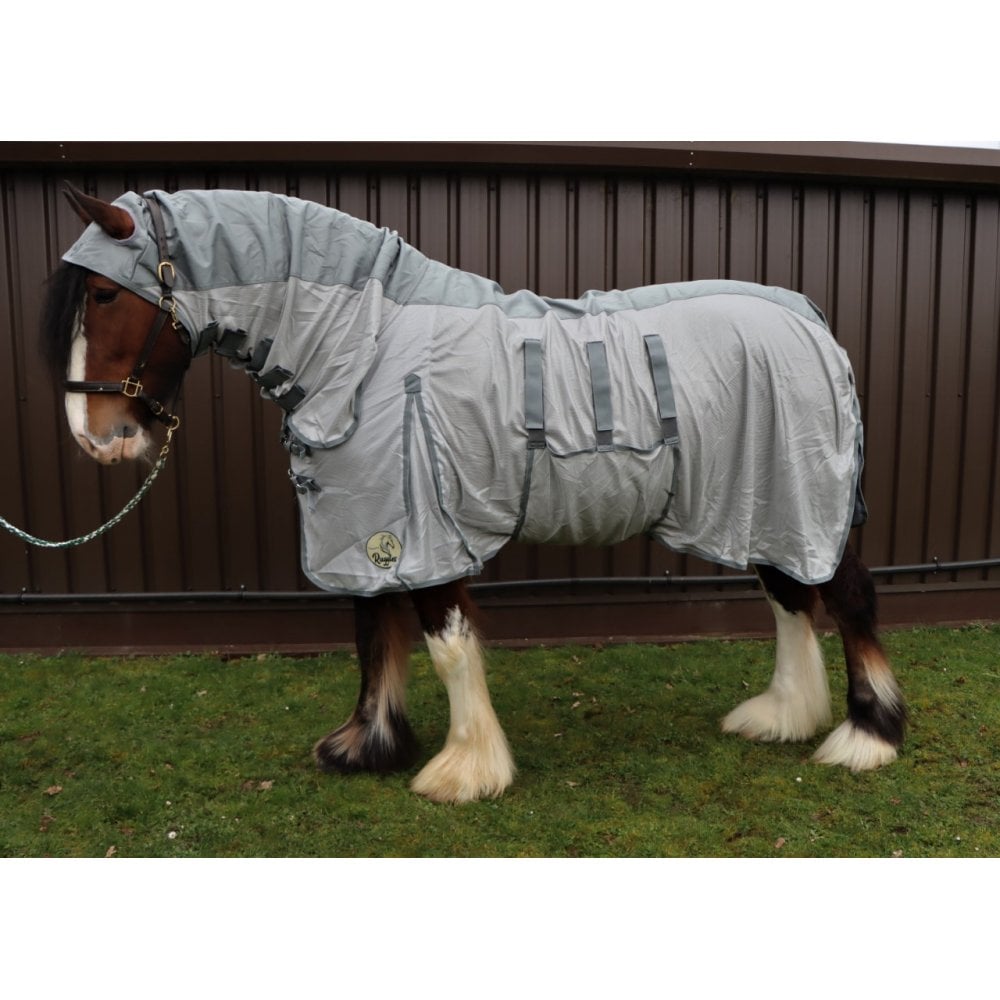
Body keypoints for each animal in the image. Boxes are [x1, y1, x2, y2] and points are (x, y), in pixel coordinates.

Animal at [38, 183, 907, 804]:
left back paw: (867, 738)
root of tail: (809, 319)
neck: (368, 346)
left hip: (803, 496)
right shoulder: (367, 526)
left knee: (847, 596)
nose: (95, 435)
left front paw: (463, 770)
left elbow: (445, 643)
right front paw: (367, 747)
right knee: (791, 599)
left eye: (107, 297)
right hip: (761, 507)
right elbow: (373, 634)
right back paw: (782, 717)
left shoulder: (424, 524)